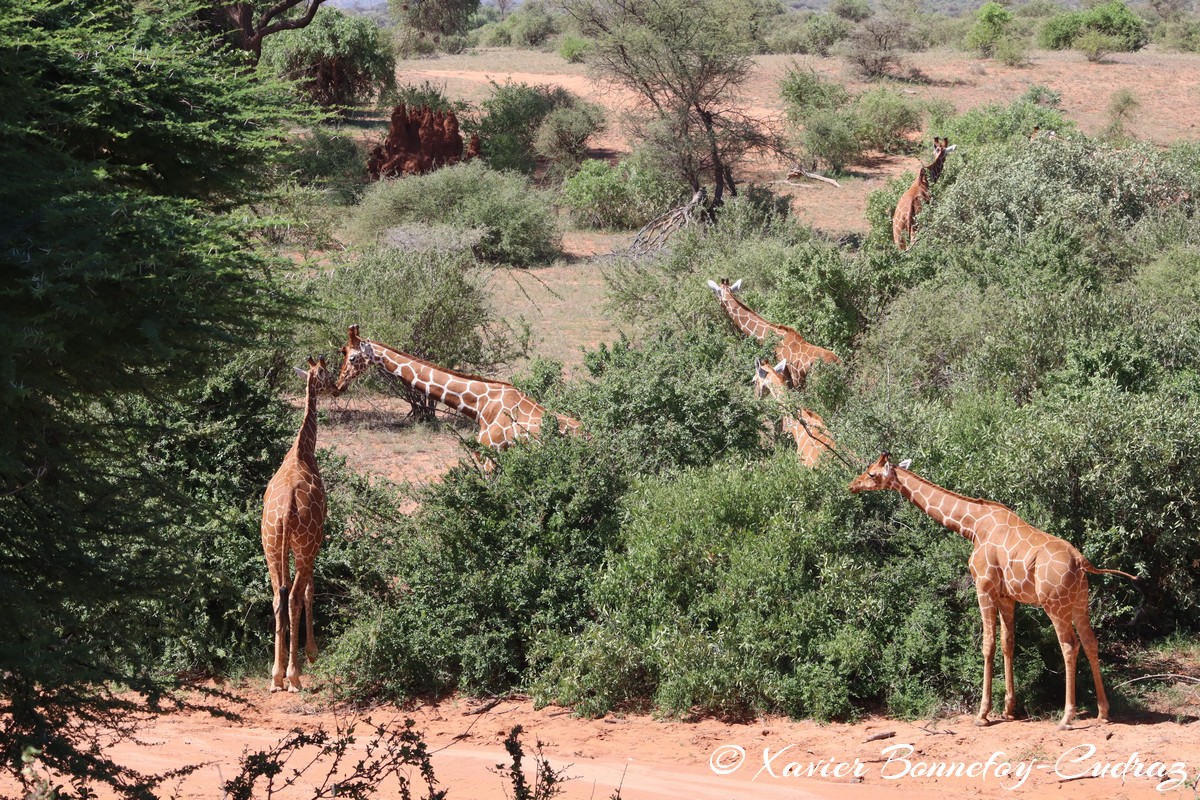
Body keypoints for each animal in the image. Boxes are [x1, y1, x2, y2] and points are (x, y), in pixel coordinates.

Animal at [844, 453, 1132, 729]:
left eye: (871, 473)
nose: (852, 485)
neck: (973, 526)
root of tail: (1081, 561)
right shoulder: (1007, 597)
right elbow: (1008, 643)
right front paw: (1009, 710)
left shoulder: (983, 586)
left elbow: (987, 645)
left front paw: (982, 714)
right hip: (1080, 603)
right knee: (1091, 642)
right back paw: (1103, 712)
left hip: (1055, 605)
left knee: (1070, 646)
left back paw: (1066, 718)